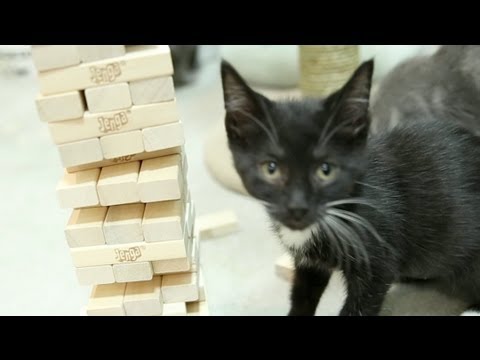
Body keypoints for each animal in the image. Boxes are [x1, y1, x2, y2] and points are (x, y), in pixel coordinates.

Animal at [222, 58, 480, 316]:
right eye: (271, 168)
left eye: (326, 170)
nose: (297, 208)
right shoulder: (309, 263)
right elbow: (302, 296)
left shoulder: (376, 259)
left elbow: (363, 302)